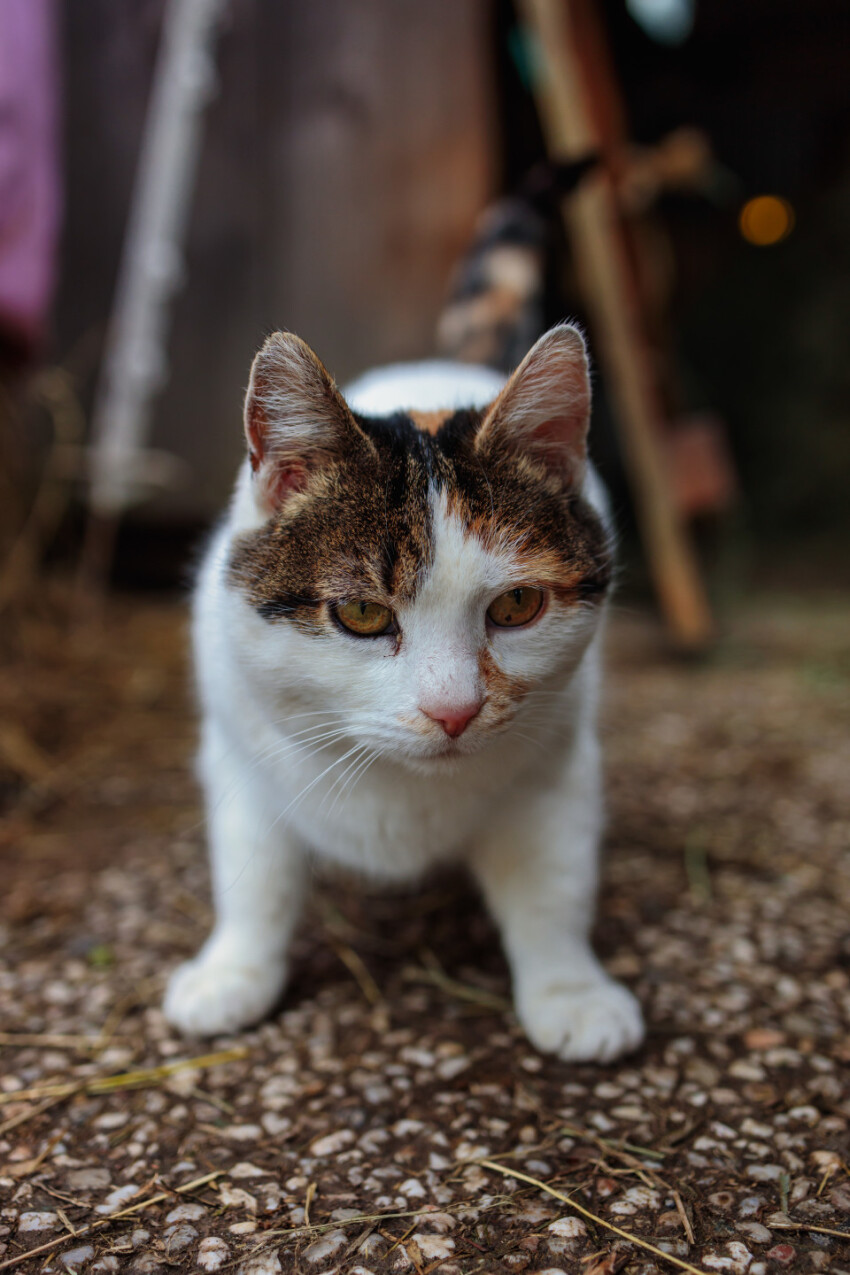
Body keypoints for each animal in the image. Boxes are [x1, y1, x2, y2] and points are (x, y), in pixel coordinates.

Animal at [163, 196, 644, 1065]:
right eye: (360, 614)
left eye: (517, 607)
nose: (454, 711)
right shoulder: (239, 754)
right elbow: (254, 875)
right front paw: (232, 970)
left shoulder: (558, 766)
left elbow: (552, 883)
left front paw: (570, 988)